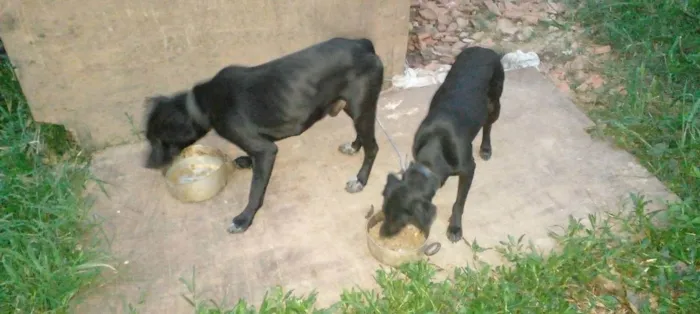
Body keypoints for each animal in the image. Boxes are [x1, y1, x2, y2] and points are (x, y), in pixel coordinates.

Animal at [142, 37, 382, 233]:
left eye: (158, 140)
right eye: (149, 137)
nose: (147, 165)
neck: (203, 104)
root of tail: (363, 44)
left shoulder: (265, 150)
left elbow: (255, 190)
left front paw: (244, 219)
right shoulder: (261, 147)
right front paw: (245, 161)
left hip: (361, 108)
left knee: (373, 147)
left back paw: (360, 180)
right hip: (354, 108)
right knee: (363, 136)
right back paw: (354, 146)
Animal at [378, 46, 504, 243]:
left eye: (400, 218)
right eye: (384, 211)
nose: (382, 234)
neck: (435, 146)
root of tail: (484, 49)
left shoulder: (469, 170)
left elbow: (459, 202)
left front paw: (455, 227)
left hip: (495, 103)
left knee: (488, 124)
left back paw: (485, 147)